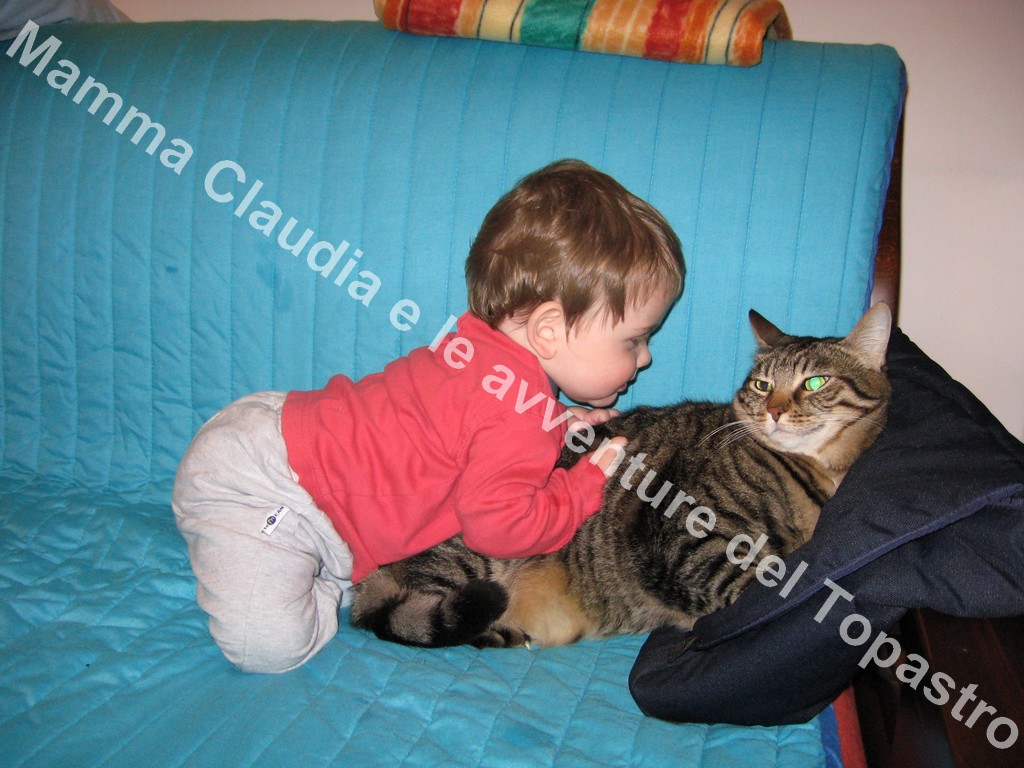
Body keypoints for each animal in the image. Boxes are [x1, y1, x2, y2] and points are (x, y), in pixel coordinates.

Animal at [350, 303, 892, 649]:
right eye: (762, 385)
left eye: (815, 382)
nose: (774, 410)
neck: (817, 473)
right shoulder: (685, 541)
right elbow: (746, 584)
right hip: (470, 556)